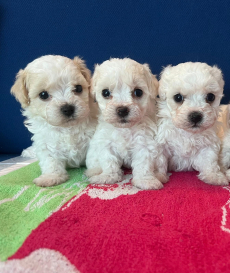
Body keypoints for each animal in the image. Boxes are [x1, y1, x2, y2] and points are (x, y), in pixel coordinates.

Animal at [11, 55, 97, 187]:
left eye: (78, 88)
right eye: (43, 95)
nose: (68, 108)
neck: (67, 128)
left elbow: (95, 156)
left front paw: (97, 172)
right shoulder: (45, 143)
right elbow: (50, 161)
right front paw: (51, 177)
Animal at [85, 57, 164, 189]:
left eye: (138, 92)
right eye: (105, 92)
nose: (122, 110)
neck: (124, 129)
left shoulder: (144, 143)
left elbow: (143, 164)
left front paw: (145, 180)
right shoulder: (106, 143)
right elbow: (109, 160)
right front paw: (108, 176)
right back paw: (94, 171)